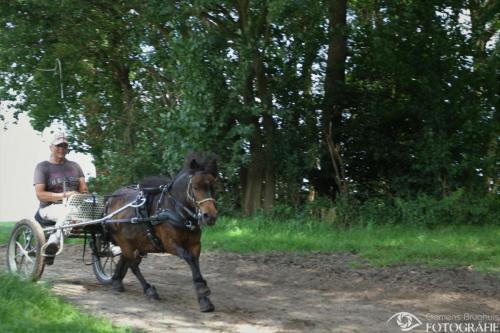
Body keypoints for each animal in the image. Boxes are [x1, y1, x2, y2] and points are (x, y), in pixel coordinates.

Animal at [105, 153, 217, 312]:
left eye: (214, 187)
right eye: (195, 187)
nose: (210, 216)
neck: (175, 210)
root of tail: (111, 200)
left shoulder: (195, 244)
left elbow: (195, 262)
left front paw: (204, 298)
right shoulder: (170, 243)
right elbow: (189, 258)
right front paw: (202, 289)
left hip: (135, 242)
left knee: (126, 260)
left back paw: (116, 281)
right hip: (124, 241)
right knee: (133, 264)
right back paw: (148, 289)